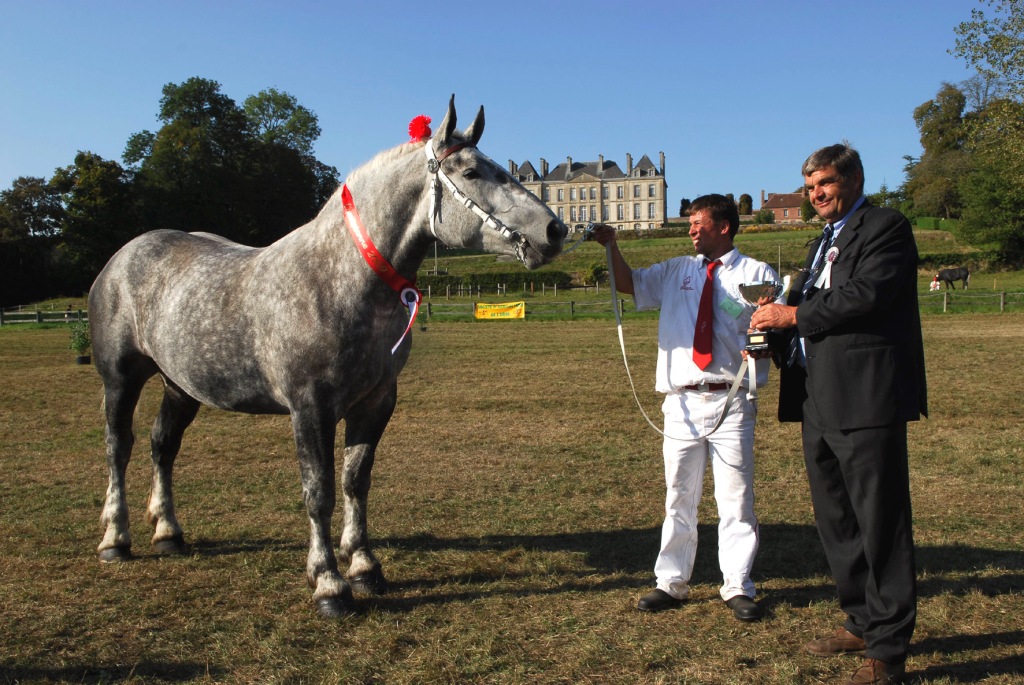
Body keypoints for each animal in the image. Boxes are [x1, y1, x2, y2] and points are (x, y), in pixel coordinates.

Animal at [88, 97, 569, 618]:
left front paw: (363, 567)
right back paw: (116, 539)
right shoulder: (309, 408)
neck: (337, 280)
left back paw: (168, 533)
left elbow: (355, 481)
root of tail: (122, 257)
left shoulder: (375, 404)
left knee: (163, 446)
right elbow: (317, 492)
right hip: (120, 379)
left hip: (180, 386)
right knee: (119, 447)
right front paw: (328, 583)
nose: (556, 229)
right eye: (471, 170)